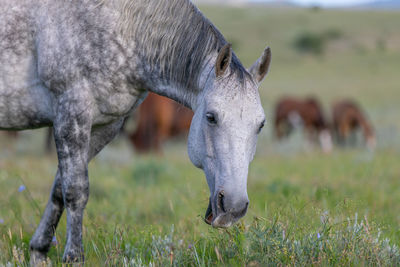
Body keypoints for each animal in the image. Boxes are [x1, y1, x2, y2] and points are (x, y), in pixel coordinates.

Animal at [0, 0, 272, 264]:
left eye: (260, 124)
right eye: (211, 117)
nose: (234, 207)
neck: (118, 25)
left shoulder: (105, 126)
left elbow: (59, 188)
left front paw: (39, 250)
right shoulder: (71, 114)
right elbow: (75, 190)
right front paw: (73, 257)